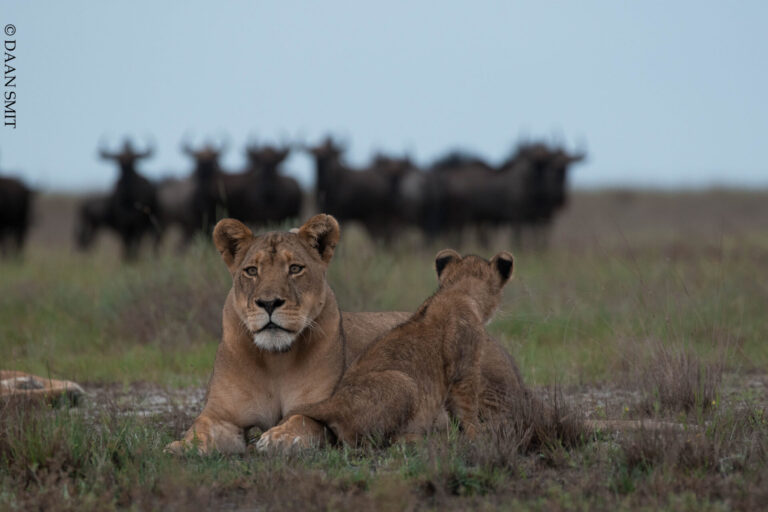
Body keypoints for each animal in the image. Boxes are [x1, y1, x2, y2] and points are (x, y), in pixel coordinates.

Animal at [256, 249, 517, 450]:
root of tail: (335, 403)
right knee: (377, 441)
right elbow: (467, 410)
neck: (457, 291)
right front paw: (477, 438)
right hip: (405, 384)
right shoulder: (465, 368)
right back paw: (418, 439)